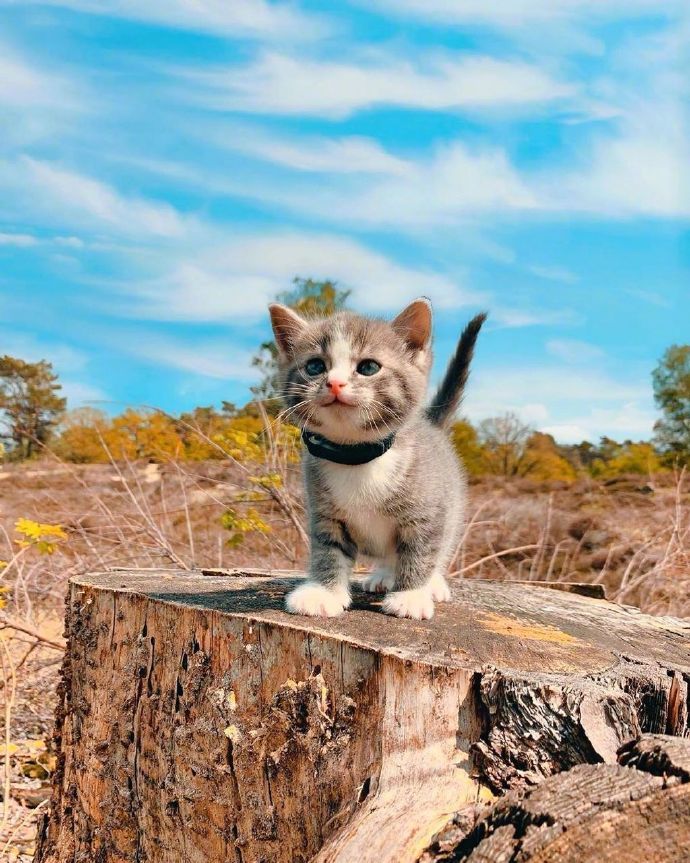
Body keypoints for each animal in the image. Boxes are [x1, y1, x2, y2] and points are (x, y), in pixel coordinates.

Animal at [268, 298, 484, 620]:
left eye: (368, 367)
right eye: (315, 366)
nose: (334, 383)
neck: (356, 456)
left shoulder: (429, 512)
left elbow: (420, 551)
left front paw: (410, 595)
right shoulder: (324, 512)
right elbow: (328, 550)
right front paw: (324, 593)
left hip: (453, 503)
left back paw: (431, 583)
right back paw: (383, 575)